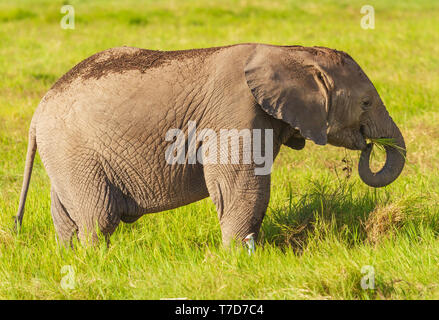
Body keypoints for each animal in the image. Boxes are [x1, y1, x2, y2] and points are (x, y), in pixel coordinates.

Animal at [15, 43, 408, 246]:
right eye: (366, 103)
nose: (369, 144)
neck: (291, 53)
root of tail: (37, 110)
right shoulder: (235, 111)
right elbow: (240, 185)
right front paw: (239, 258)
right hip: (74, 151)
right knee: (98, 218)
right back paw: (97, 259)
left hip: (64, 156)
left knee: (66, 217)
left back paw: (72, 259)